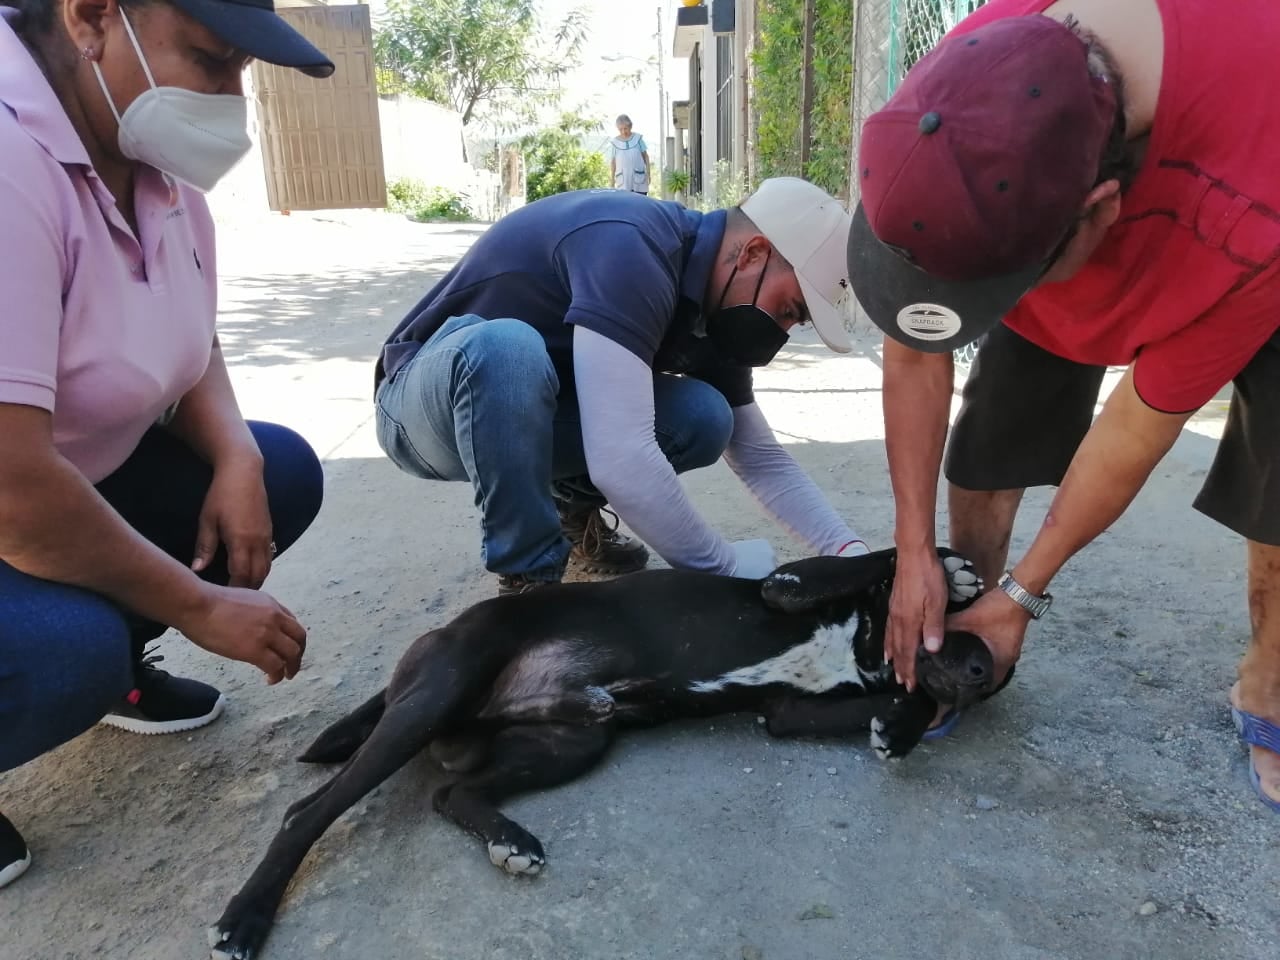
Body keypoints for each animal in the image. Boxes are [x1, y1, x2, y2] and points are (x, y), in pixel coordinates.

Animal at [209, 547, 1008, 960]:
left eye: (995, 674)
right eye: (957, 627)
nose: (985, 671)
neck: (864, 642)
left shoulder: (788, 712)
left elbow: (890, 702)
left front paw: (902, 727)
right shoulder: (787, 586)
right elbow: (874, 559)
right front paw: (946, 565)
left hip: (572, 742)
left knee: (453, 791)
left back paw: (511, 838)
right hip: (435, 698)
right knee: (307, 811)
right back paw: (246, 918)